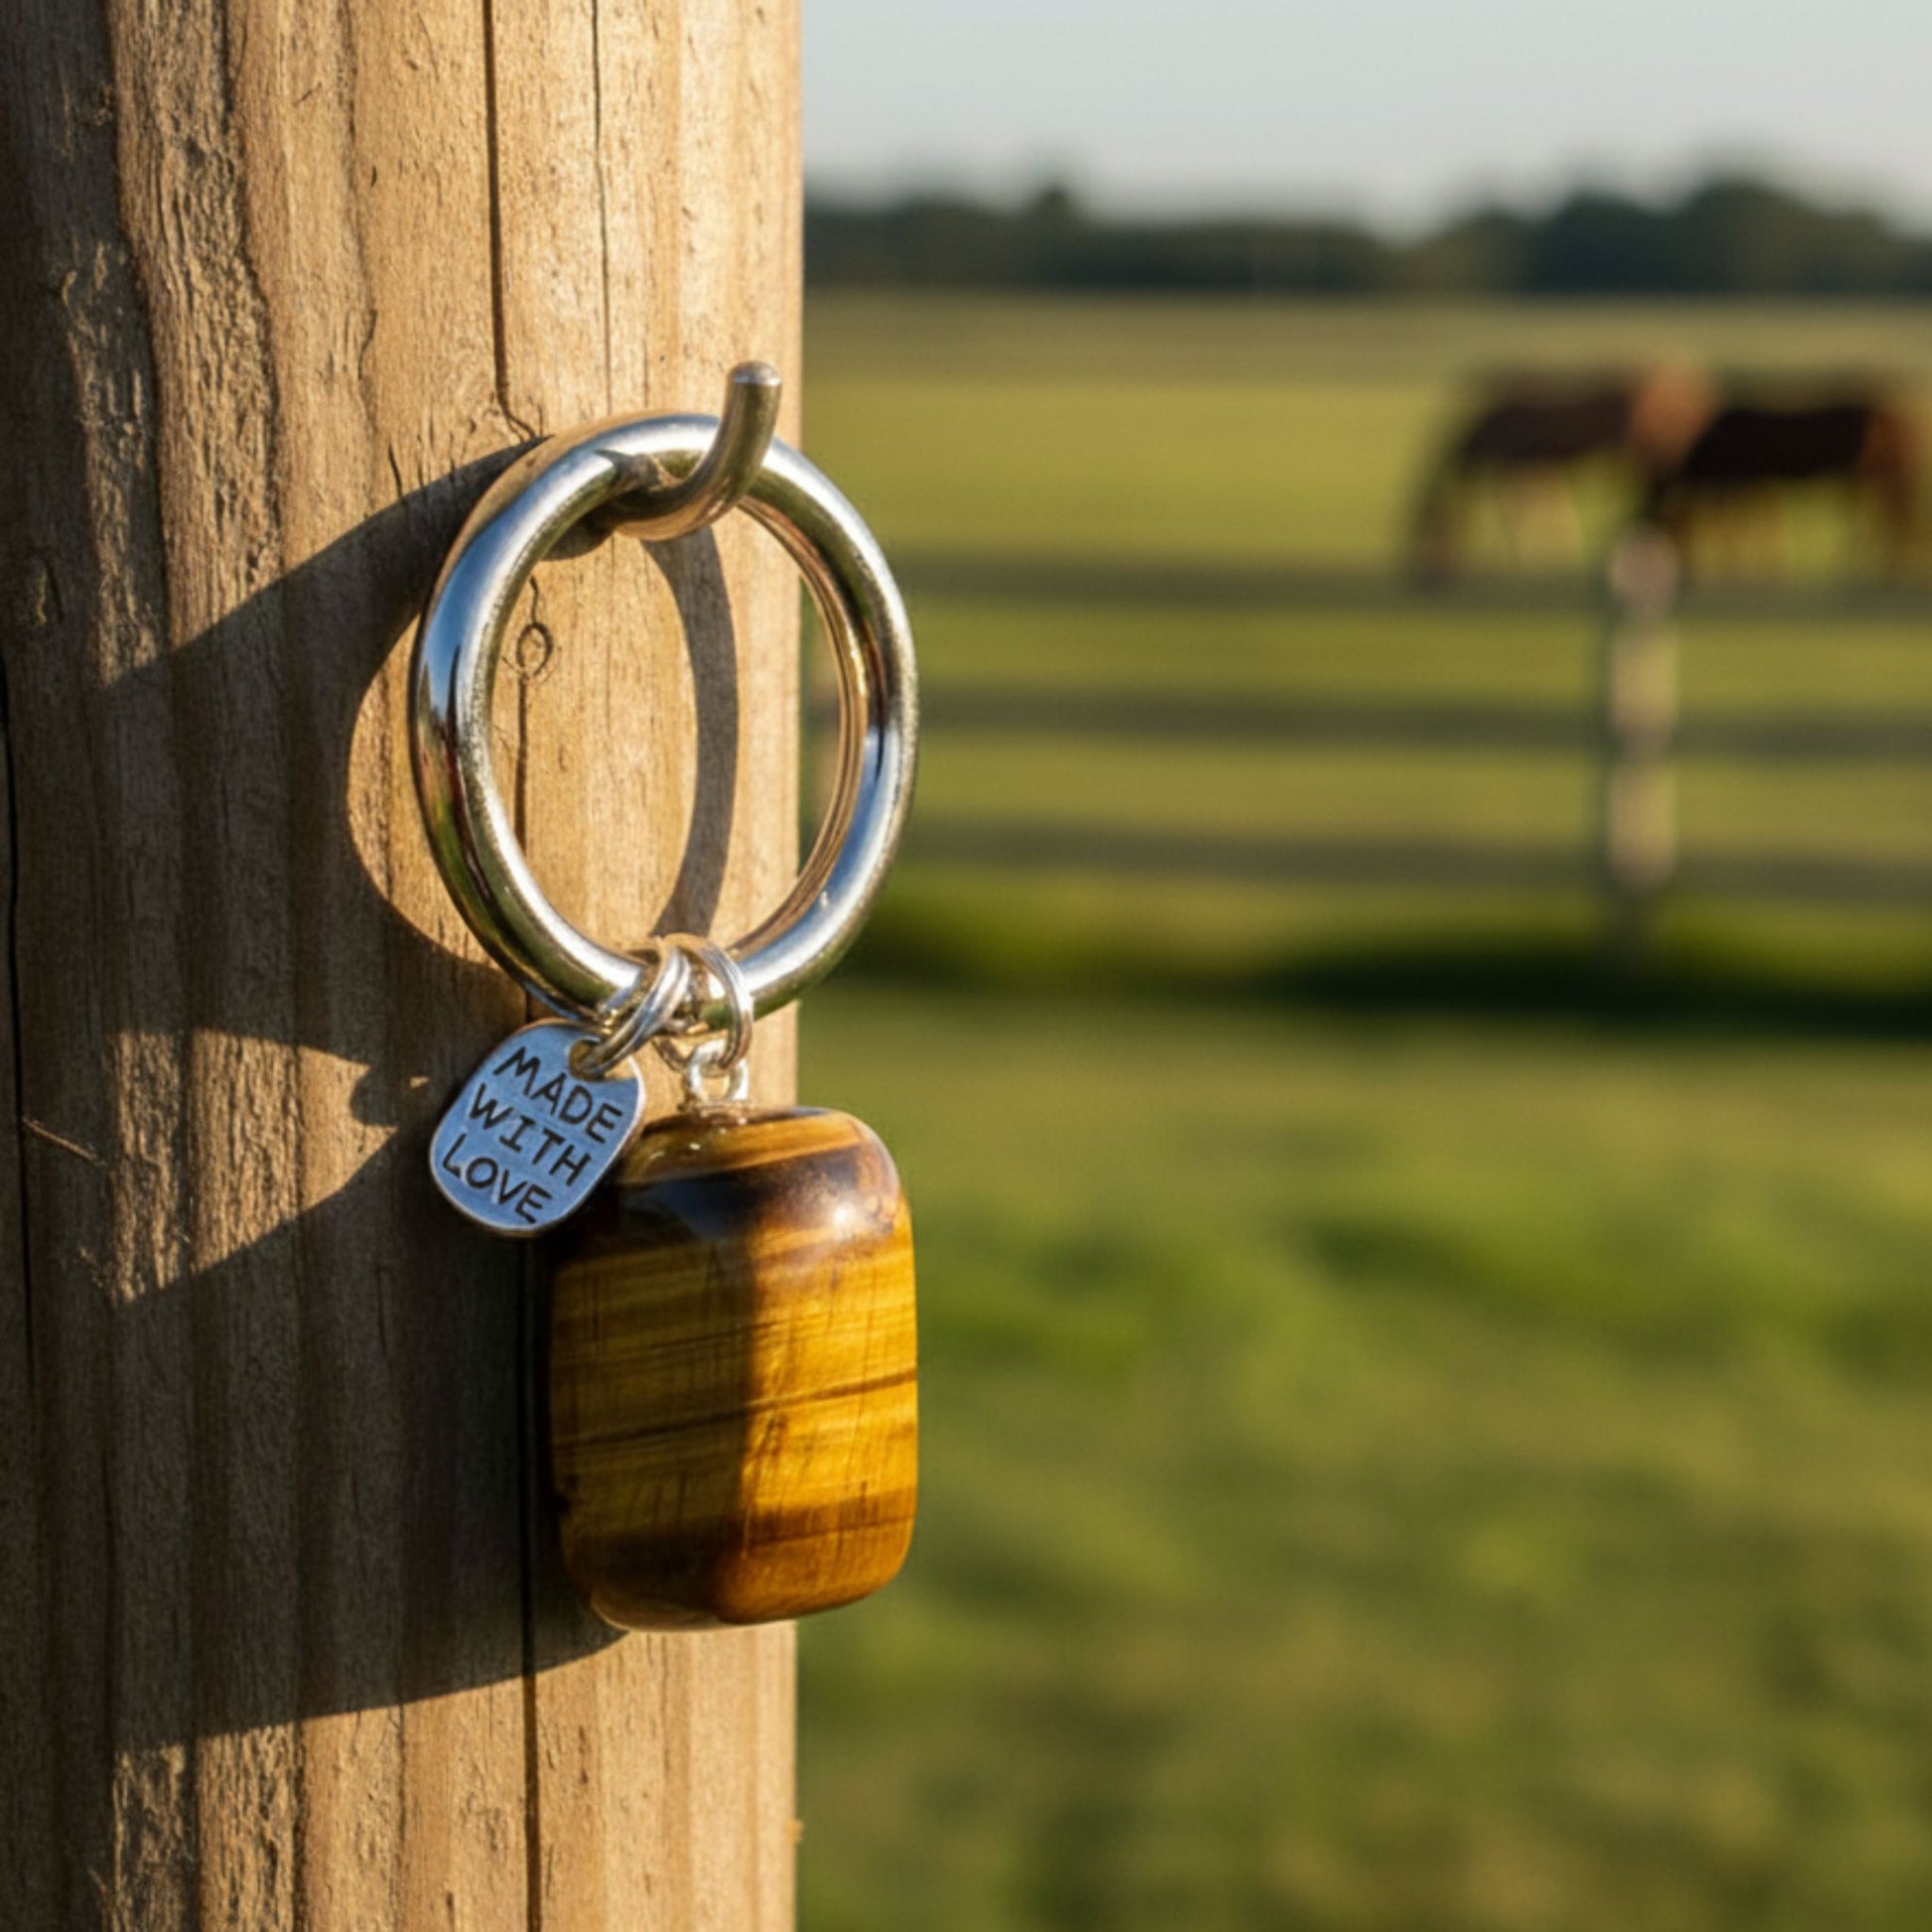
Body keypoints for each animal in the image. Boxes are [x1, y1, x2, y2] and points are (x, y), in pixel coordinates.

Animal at [1409, 367, 1714, 581]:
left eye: (1424, 535)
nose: (1424, 574)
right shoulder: (1535, 468)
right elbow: (1553, 509)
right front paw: (1562, 550)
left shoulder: (1512, 466)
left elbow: (1516, 516)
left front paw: (1521, 558)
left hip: (1650, 455)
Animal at [1641, 396, 1921, 577]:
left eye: (1665, 525)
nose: (1682, 567)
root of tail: (1894, 418)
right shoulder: (1746, 483)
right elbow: (1746, 522)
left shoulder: (1746, 481)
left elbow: (1743, 523)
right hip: (1879, 478)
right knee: (1894, 516)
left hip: (1875, 477)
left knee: (1893, 516)